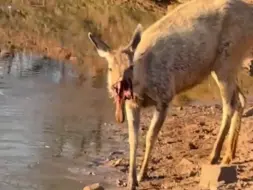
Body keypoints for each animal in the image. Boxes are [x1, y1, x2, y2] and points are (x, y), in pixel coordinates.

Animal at [87, 0, 253, 189]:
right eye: (110, 68)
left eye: (131, 67)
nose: (120, 86)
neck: (144, 83)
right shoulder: (132, 105)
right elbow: (133, 139)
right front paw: (131, 179)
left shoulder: (165, 96)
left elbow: (150, 136)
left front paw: (143, 174)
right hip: (225, 66)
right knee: (241, 99)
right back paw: (228, 156)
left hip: (227, 59)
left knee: (230, 105)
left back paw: (214, 156)